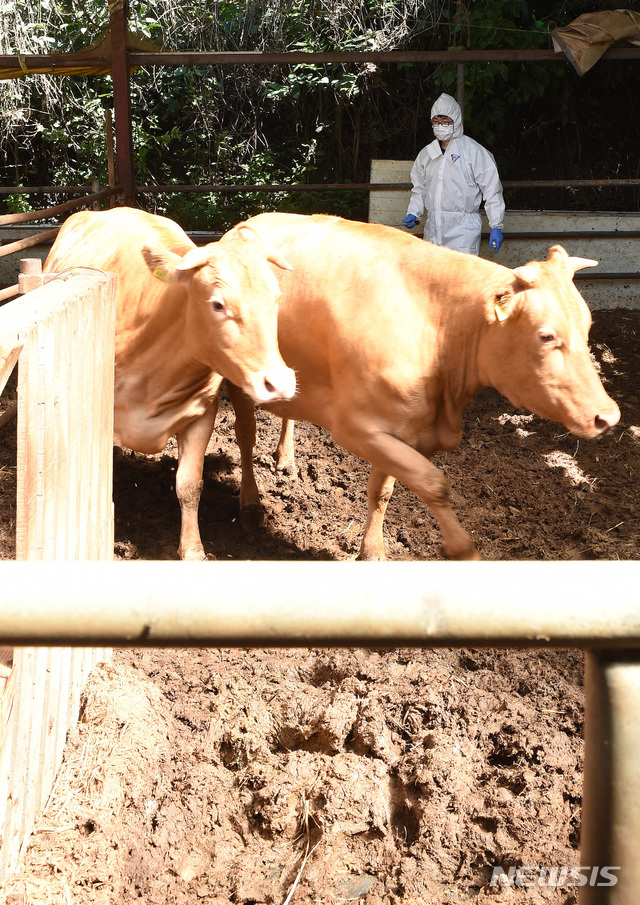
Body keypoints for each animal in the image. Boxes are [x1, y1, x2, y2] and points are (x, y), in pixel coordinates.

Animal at [44, 207, 296, 556]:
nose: (280, 382)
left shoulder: (201, 414)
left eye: (277, 297)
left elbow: (189, 485)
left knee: (246, 435)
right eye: (218, 303)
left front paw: (192, 550)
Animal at [226, 215, 620, 560]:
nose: (608, 416)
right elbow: (433, 483)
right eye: (546, 336)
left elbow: (382, 491)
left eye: (588, 325)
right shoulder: (357, 429)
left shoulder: (401, 429)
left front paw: (372, 551)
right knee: (245, 436)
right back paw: (249, 504)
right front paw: (462, 549)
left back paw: (286, 457)